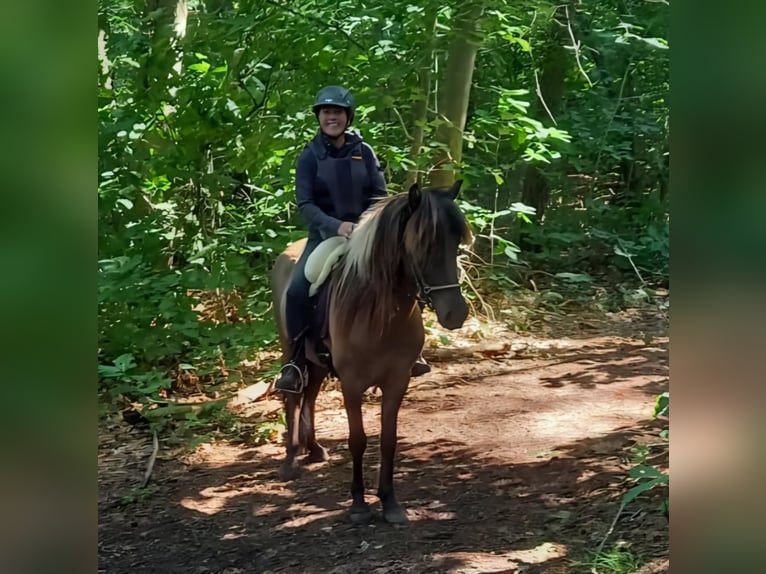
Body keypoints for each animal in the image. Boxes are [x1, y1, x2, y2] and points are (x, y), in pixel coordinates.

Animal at [270, 180, 472, 524]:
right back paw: (291, 460)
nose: (456, 313)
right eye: (422, 244)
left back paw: (314, 449)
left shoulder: (397, 382)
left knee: (310, 395)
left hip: (317, 362)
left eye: (457, 241)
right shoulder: (352, 385)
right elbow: (358, 440)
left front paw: (390, 502)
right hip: (289, 350)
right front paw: (359, 504)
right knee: (293, 397)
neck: (377, 314)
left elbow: (388, 440)